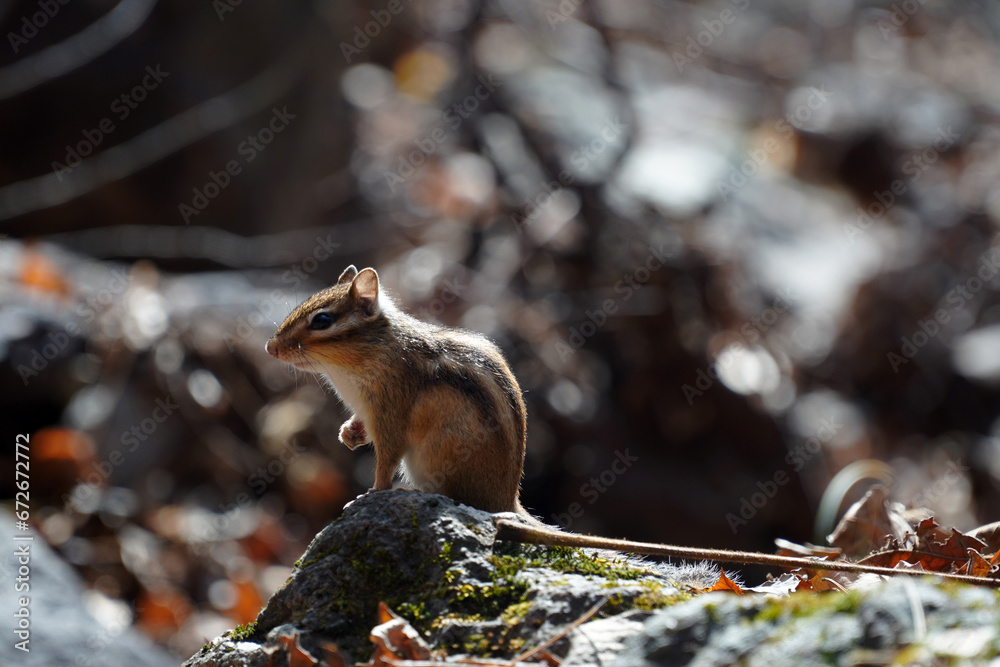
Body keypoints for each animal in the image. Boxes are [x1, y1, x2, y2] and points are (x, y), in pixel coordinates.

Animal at [266, 265, 538, 521]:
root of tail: (507, 501)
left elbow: (387, 458)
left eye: (322, 320)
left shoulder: (391, 413)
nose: (271, 347)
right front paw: (349, 433)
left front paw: (375, 492)